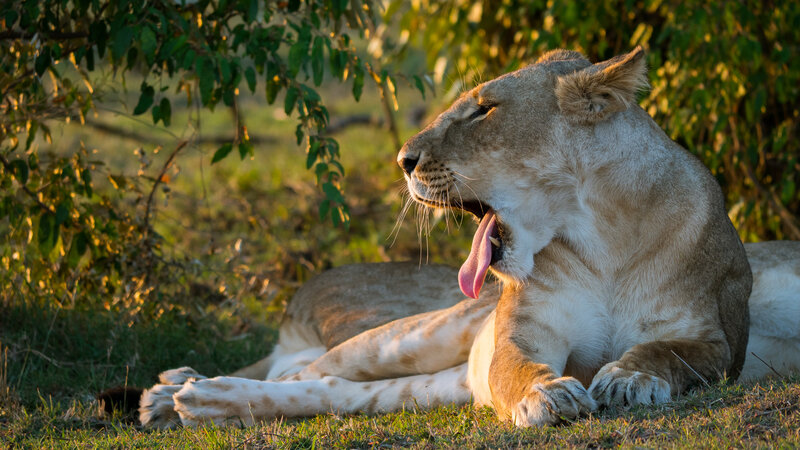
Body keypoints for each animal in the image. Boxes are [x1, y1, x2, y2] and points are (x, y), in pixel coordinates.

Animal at [138, 47, 800, 428]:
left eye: (483, 109)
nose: (402, 159)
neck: (601, 237)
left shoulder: (715, 337)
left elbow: (668, 353)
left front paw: (629, 378)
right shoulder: (519, 331)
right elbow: (517, 367)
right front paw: (548, 396)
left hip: (427, 384)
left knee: (328, 391)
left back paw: (199, 402)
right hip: (417, 334)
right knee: (308, 372)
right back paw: (178, 392)